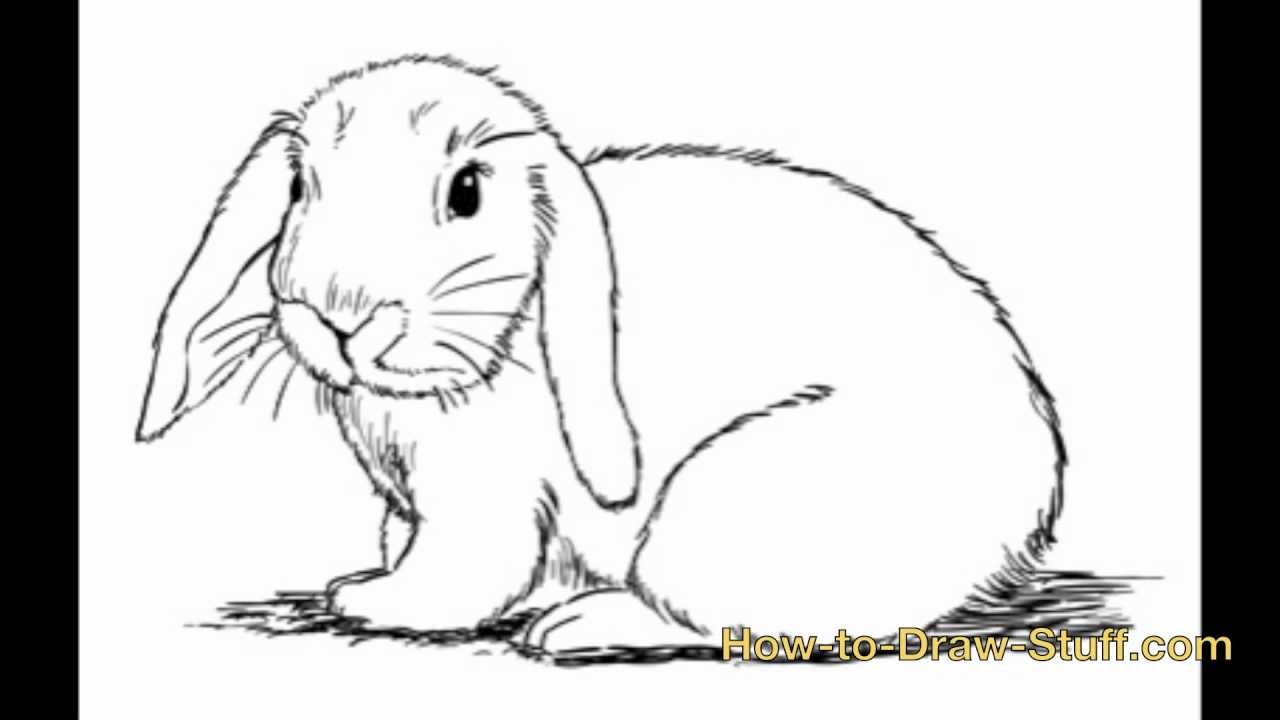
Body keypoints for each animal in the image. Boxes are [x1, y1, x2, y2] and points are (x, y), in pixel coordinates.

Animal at [136, 53, 1065, 658]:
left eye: (466, 192)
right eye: (299, 186)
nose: (337, 314)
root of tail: (1021, 520)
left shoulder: (485, 495)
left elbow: (464, 565)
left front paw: (378, 600)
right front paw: (380, 575)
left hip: (724, 508)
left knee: (736, 622)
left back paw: (580, 627)